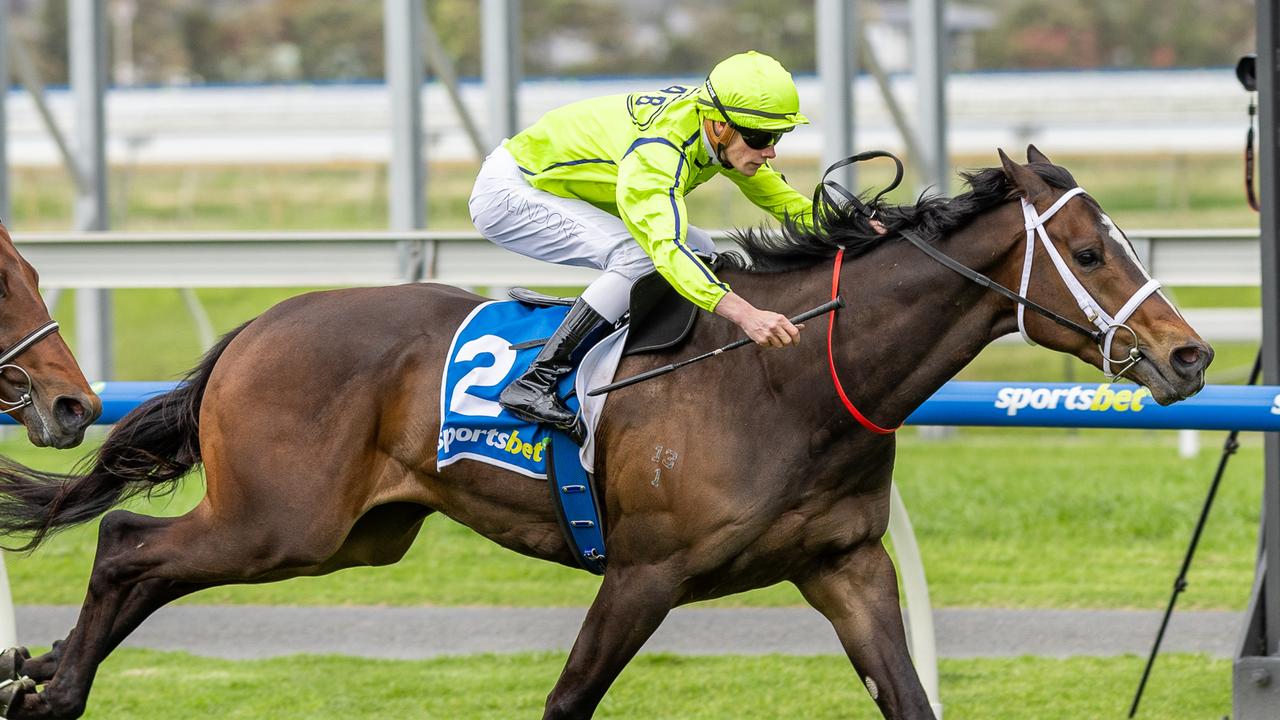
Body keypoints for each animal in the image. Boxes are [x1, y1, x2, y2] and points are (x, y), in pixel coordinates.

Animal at [0, 148, 1208, 712]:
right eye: (1089, 252)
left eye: (1118, 243)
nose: (1189, 354)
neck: (791, 381)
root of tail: (259, 323)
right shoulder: (642, 572)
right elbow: (567, 697)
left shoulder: (845, 564)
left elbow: (905, 695)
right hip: (279, 523)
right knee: (128, 548)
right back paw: (58, 685)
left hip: (348, 536)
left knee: (146, 566)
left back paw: (47, 675)